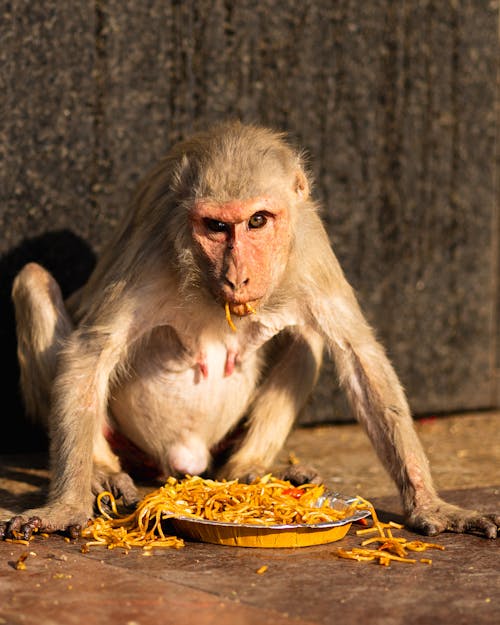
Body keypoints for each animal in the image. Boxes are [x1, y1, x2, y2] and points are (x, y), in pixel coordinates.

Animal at [3, 119, 500, 540]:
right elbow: (90, 354)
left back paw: (248, 467)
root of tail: (185, 459)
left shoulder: (310, 244)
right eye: (216, 226)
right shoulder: (153, 249)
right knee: (32, 281)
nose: (237, 276)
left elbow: (359, 358)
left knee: (308, 337)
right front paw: (66, 507)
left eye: (258, 220)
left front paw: (430, 505)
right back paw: (102, 470)